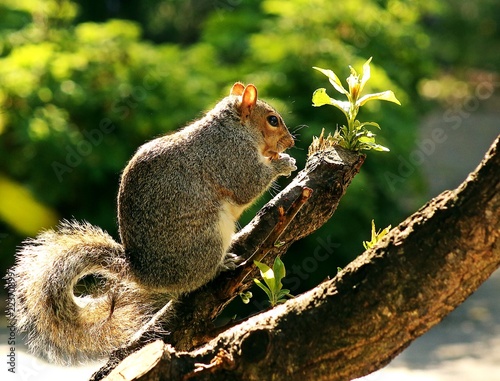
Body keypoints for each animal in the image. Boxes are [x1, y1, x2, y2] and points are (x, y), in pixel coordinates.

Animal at [8, 82, 296, 362]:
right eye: (272, 120)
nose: (291, 142)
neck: (234, 128)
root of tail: (145, 272)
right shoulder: (231, 158)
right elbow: (248, 185)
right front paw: (283, 164)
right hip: (207, 238)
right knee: (197, 278)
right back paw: (222, 265)